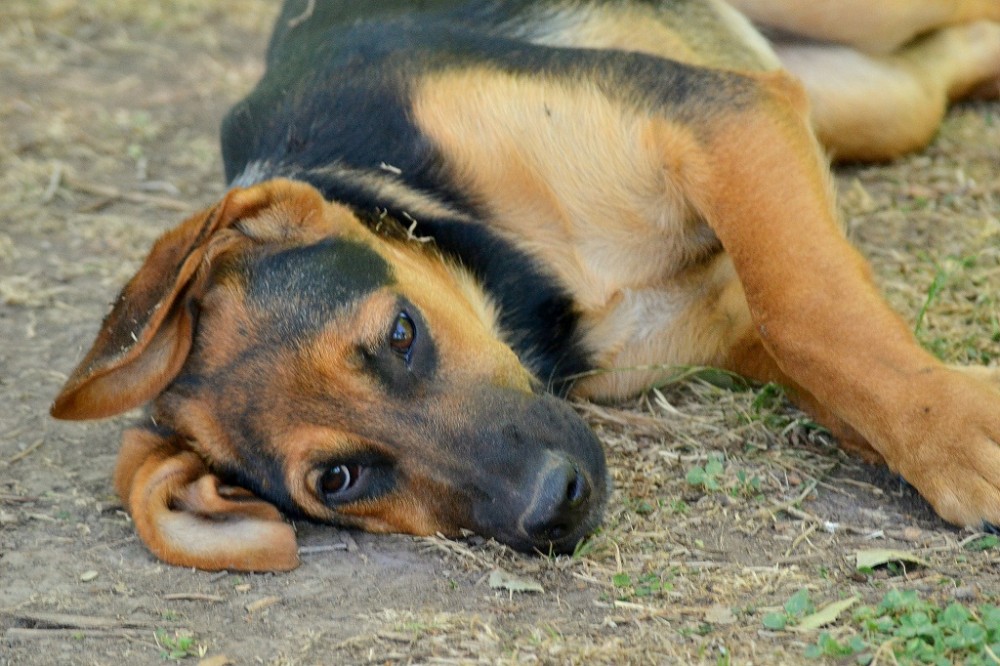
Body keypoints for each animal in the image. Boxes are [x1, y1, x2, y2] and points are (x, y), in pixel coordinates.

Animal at [52, 1, 1000, 572]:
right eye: (340, 480)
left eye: (401, 332)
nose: (559, 506)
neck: (526, 287)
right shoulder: (727, 309)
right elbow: (824, 354)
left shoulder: (719, 120)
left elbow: (809, 308)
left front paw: (961, 435)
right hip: (880, 98)